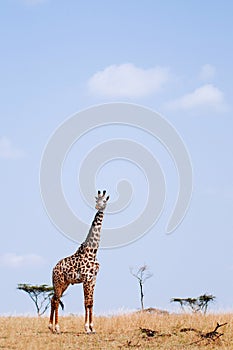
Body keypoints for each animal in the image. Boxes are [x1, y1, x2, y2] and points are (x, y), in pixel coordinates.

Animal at [49, 190, 109, 332]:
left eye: (104, 201)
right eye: (96, 200)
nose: (98, 207)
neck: (93, 251)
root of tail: (53, 269)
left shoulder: (93, 279)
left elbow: (91, 302)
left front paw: (92, 328)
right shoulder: (86, 278)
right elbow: (86, 302)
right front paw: (87, 328)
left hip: (64, 283)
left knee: (53, 299)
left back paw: (51, 327)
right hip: (59, 282)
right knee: (56, 300)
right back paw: (57, 327)